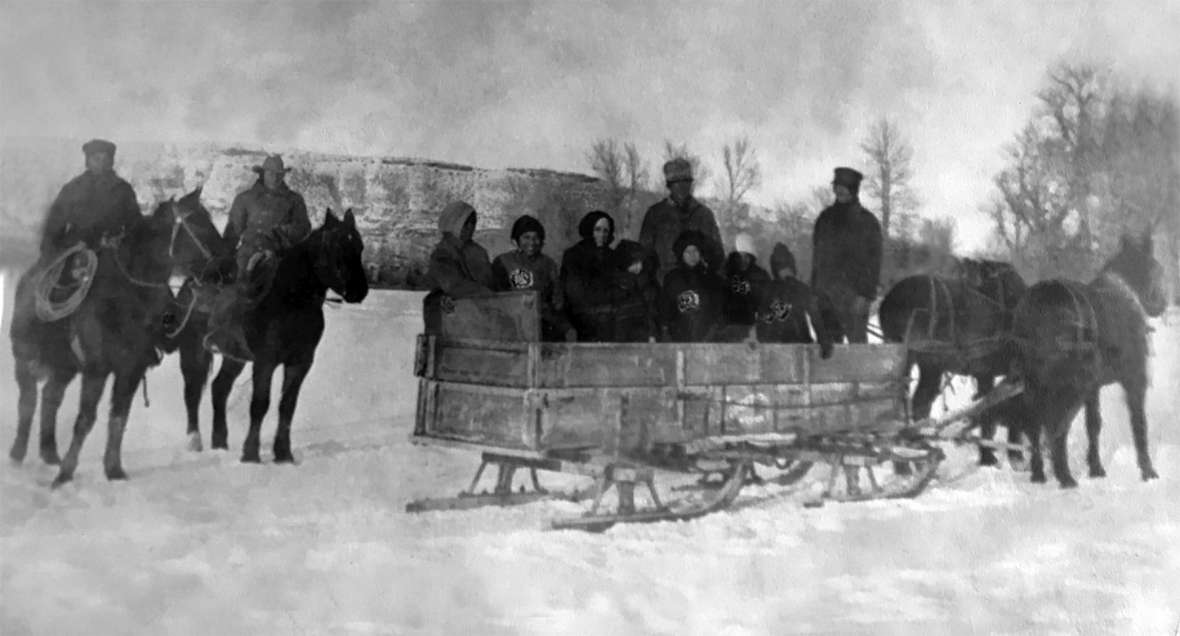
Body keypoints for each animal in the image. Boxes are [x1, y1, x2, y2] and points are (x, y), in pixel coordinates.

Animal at [205, 208, 365, 462]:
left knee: (220, 388)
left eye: (360, 246)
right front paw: (250, 454)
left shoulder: (300, 362)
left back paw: (219, 442)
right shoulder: (265, 362)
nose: (359, 290)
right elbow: (260, 404)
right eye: (336, 247)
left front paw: (283, 453)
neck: (291, 302)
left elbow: (287, 405)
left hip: (236, 358)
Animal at [882, 256, 1028, 464]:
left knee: (915, 401)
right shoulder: (1003, 372)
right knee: (912, 400)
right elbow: (993, 410)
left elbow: (988, 409)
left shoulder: (988, 373)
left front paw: (995, 453)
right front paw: (996, 456)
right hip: (922, 360)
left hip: (922, 363)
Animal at [1010, 232, 1165, 488]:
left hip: (1034, 382)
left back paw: (1039, 474)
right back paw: (1064, 477)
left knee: (1034, 424)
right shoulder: (1135, 378)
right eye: (1156, 267)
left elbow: (1093, 424)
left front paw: (1096, 468)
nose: (1161, 304)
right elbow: (1139, 423)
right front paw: (1148, 471)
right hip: (1067, 384)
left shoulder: (1094, 387)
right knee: (1055, 426)